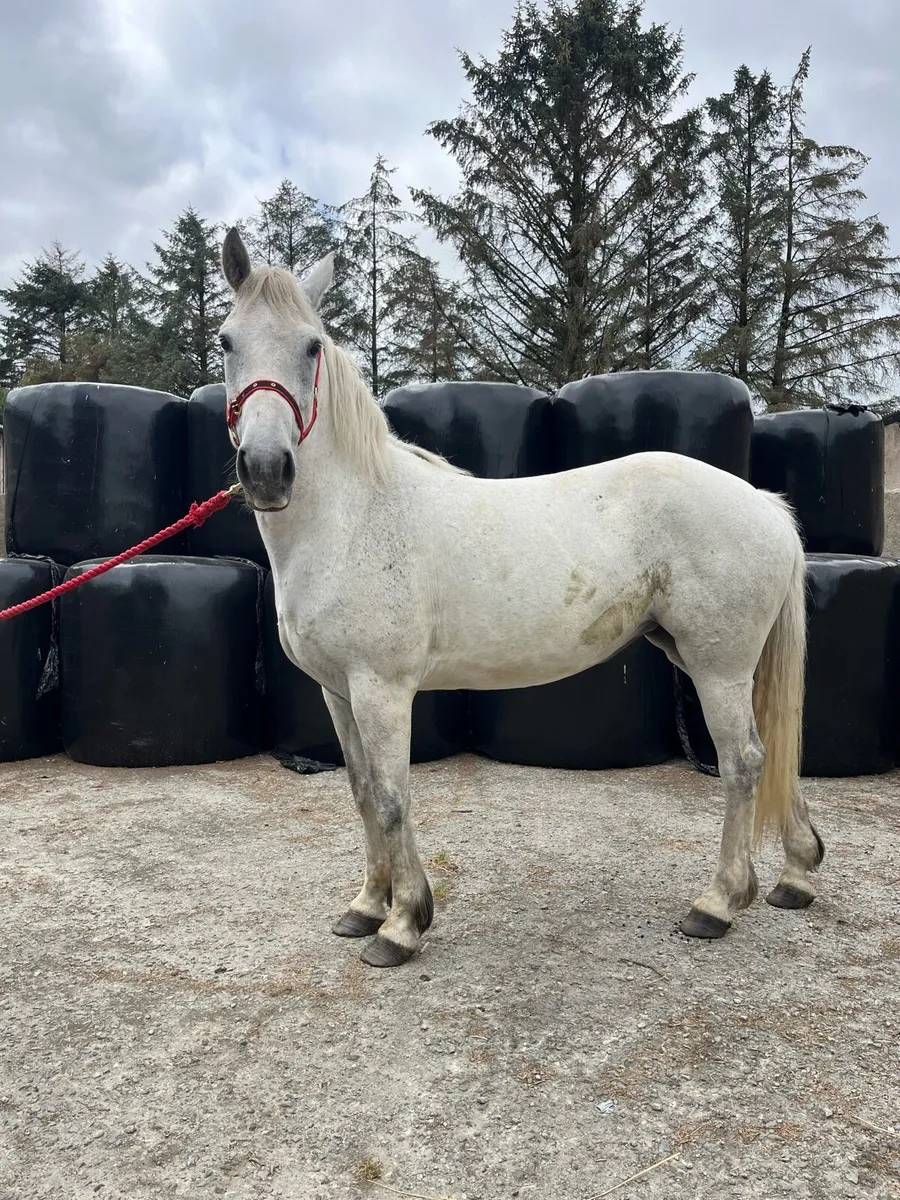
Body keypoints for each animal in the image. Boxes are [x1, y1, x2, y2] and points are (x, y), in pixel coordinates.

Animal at [217, 226, 824, 969]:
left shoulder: (381, 689)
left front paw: (403, 923)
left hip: (718, 667)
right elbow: (362, 794)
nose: (266, 470)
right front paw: (366, 906)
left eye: (311, 346)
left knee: (743, 764)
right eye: (227, 341)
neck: (355, 517)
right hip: (705, 658)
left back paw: (716, 904)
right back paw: (795, 876)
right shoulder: (338, 690)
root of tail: (763, 503)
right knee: (771, 756)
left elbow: (392, 797)